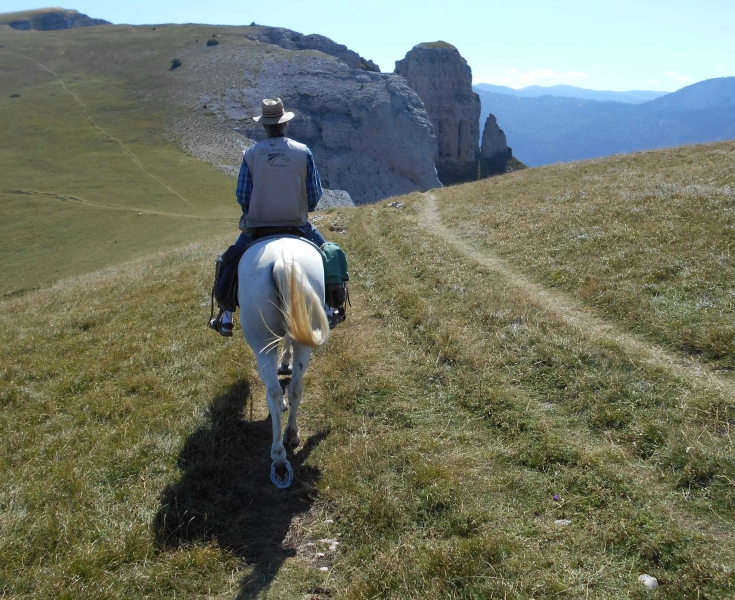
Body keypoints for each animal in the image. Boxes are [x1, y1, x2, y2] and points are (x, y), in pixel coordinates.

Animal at [237, 237, 330, 490]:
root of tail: (281, 259)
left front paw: (284, 363)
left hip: (261, 343)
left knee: (273, 391)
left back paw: (278, 455)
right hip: (304, 339)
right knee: (295, 387)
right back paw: (291, 435)